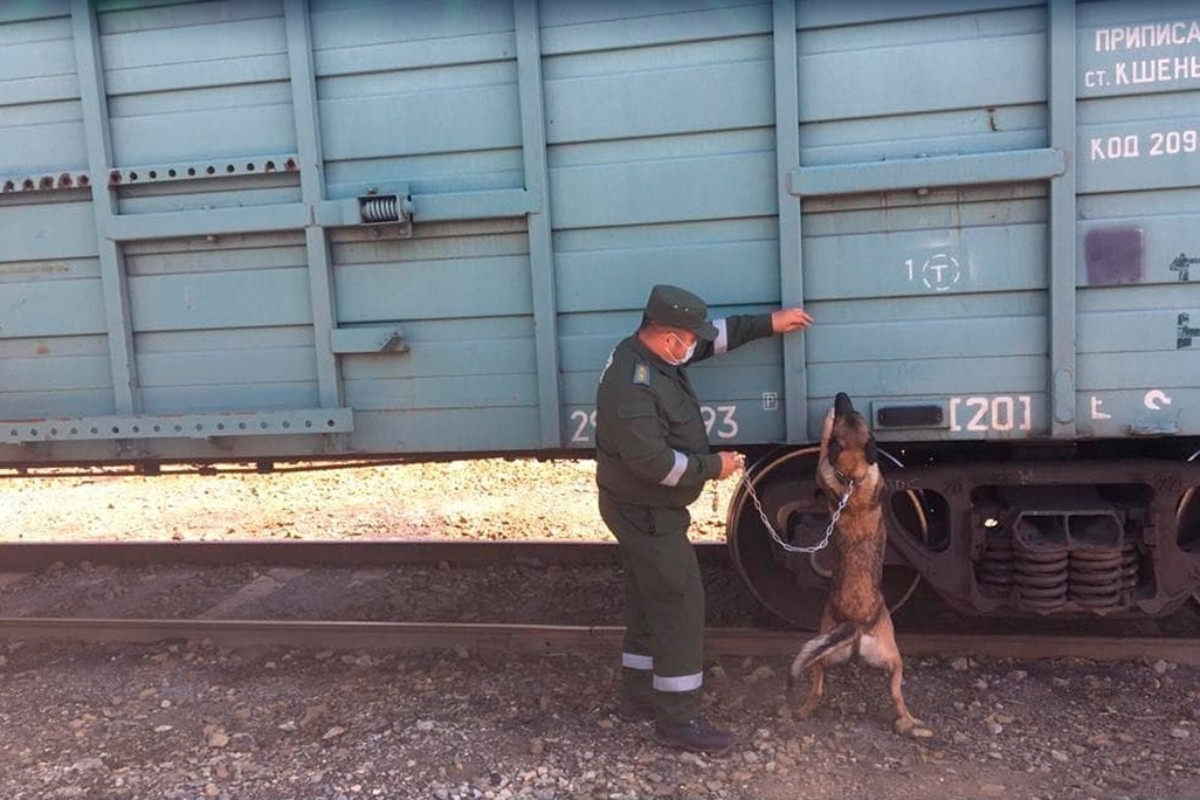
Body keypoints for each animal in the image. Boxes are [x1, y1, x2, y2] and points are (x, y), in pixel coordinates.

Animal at [787, 393, 926, 738]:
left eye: (855, 414)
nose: (840, 396)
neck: (853, 475)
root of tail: (857, 623)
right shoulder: (826, 466)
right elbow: (824, 442)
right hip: (889, 657)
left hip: (843, 656)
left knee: (824, 689)